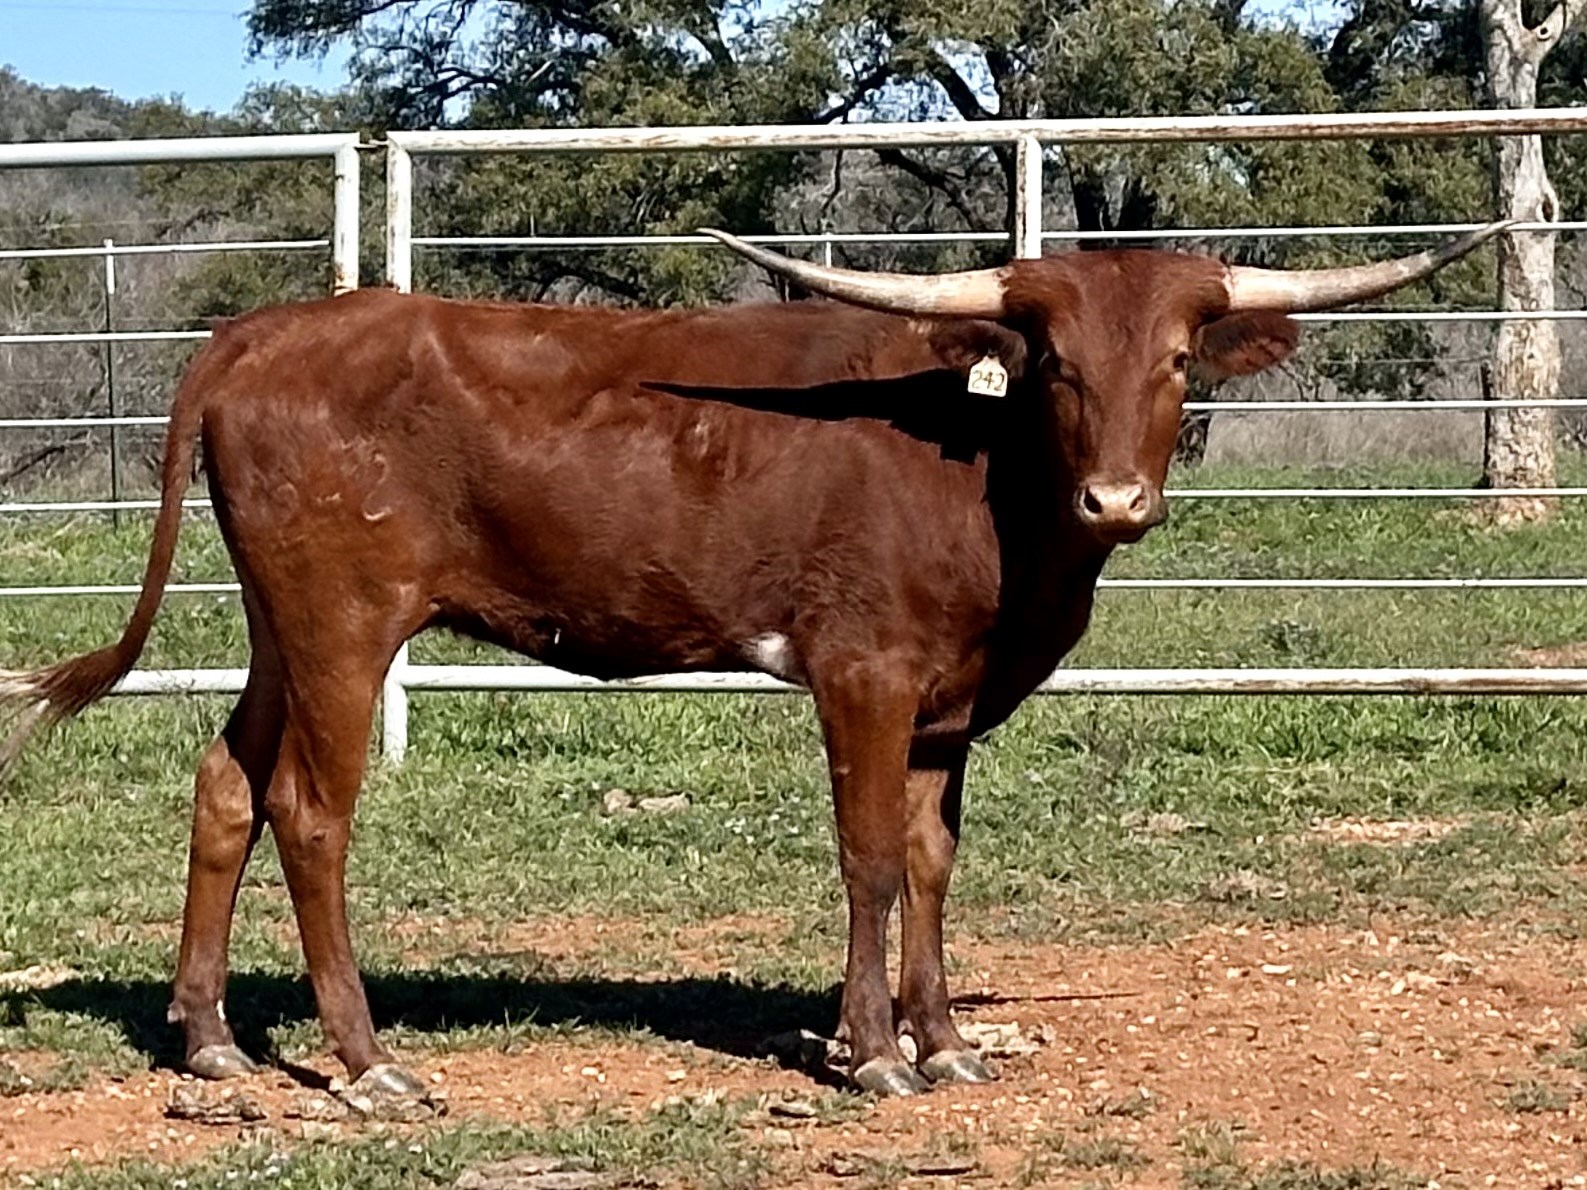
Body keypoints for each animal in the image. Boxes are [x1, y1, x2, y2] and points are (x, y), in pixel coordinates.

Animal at [0, 223, 1503, 1098]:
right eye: (1053, 360)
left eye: (1182, 356)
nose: (1117, 499)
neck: (982, 473)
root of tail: (267, 328)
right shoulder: (863, 672)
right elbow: (871, 857)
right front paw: (873, 1054)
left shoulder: (947, 705)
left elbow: (934, 860)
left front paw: (944, 1040)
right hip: (343, 622)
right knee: (310, 810)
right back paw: (365, 1064)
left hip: (280, 623)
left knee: (224, 783)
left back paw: (206, 1036)